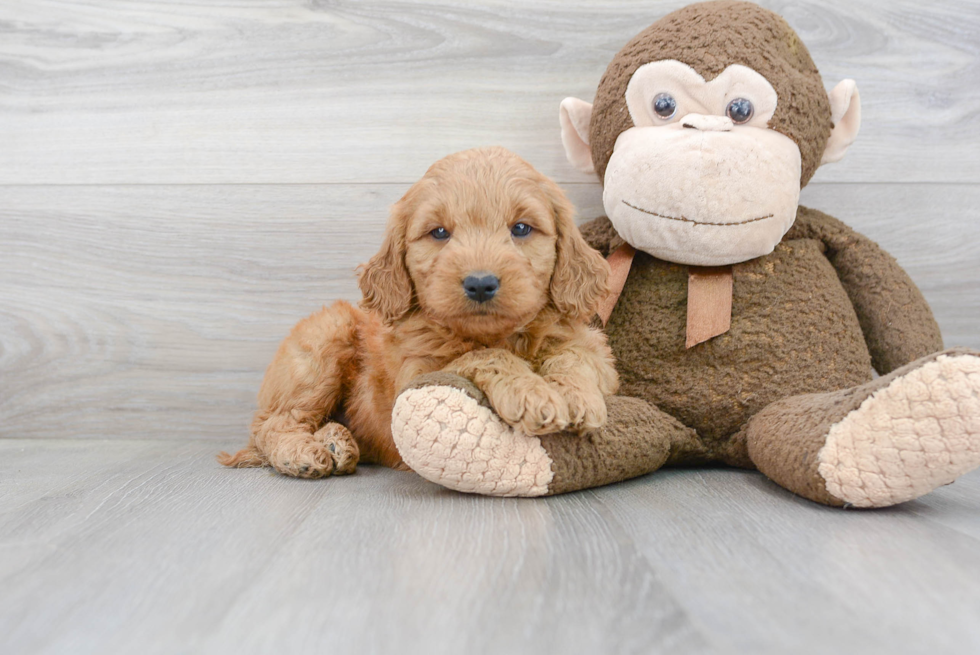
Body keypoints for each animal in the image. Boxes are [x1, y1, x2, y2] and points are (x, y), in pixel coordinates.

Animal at [222, 146, 620, 480]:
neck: (496, 333)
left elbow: (574, 356)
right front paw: (531, 393)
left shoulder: (594, 349)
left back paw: (338, 441)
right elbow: (481, 356)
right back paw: (304, 452)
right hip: (322, 344)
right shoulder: (417, 373)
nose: (480, 283)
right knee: (273, 424)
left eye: (521, 228)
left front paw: (577, 396)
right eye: (439, 232)